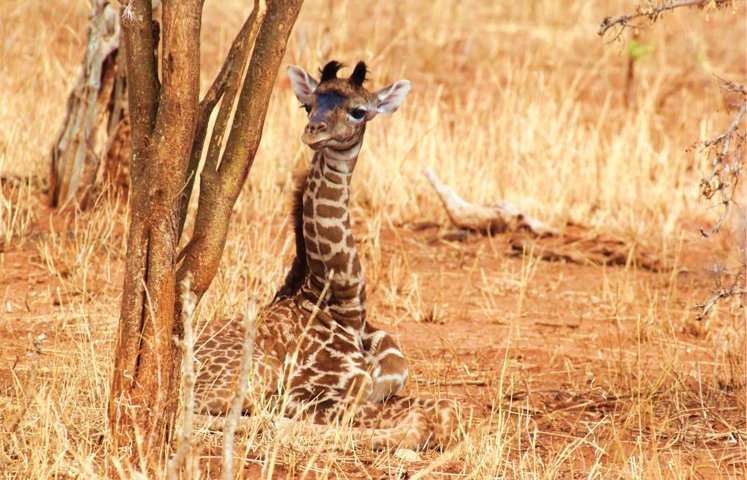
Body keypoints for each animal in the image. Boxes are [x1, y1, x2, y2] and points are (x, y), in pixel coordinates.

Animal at [196, 60, 458, 450]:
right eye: (309, 105)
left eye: (359, 111)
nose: (313, 131)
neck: (344, 305)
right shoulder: (308, 392)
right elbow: (423, 419)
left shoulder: (384, 385)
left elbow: (444, 409)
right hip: (250, 377)